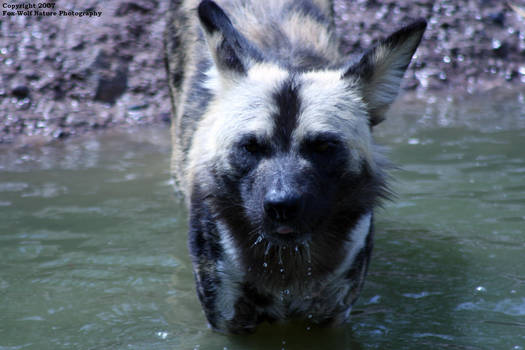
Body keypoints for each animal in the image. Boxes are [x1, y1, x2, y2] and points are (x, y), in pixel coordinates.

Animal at [164, 0, 426, 334]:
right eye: (250, 147)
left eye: (323, 147)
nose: (282, 205)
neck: (287, 263)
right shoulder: (227, 323)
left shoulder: (332, 318)